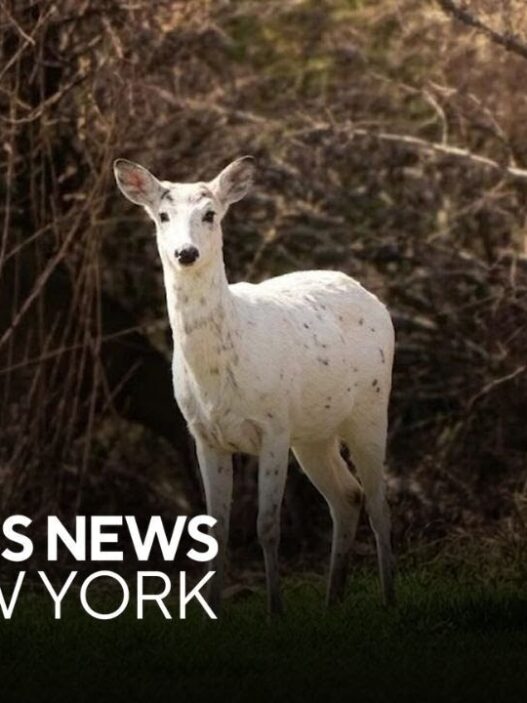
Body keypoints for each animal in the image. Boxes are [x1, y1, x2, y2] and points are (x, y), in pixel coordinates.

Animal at [114, 156, 395, 617]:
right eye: (162, 215)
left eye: (210, 213)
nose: (186, 253)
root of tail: (371, 296)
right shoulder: (204, 434)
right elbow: (215, 530)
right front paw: (212, 612)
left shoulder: (273, 425)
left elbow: (267, 525)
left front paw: (275, 611)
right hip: (313, 433)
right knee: (347, 496)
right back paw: (332, 601)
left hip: (371, 408)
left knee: (378, 503)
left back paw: (390, 596)